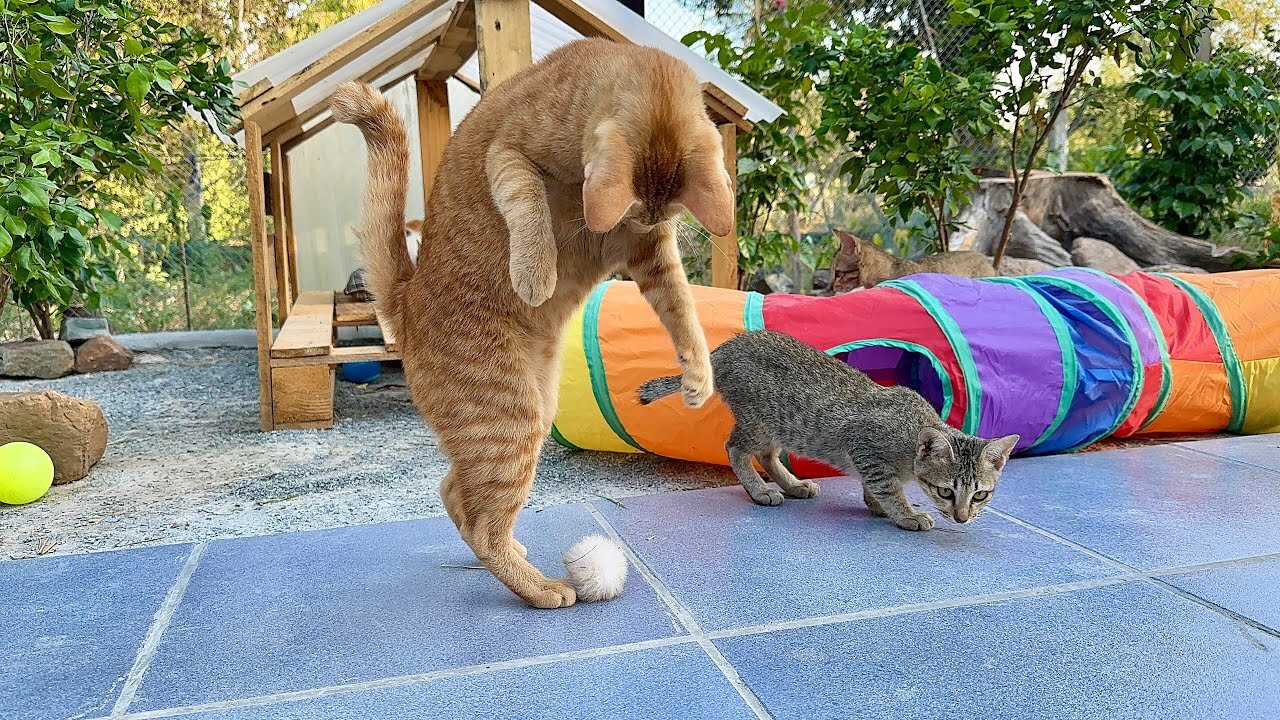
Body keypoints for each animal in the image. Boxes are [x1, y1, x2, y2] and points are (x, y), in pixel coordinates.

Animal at [330, 39, 732, 607]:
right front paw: (537, 272)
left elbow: (683, 311)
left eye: (655, 216)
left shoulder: (652, 257)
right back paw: (541, 589)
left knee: (457, 495)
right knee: (482, 523)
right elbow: (527, 202)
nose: (636, 221)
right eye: (637, 212)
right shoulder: (508, 152)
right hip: (511, 422)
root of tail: (406, 301)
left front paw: (698, 378)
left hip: (534, 413)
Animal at [640, 330, 1018, 527]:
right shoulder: (865, 446)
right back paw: (759, 490)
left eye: (981, 495)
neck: (908, 441)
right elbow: (887, 487)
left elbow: (875, 487)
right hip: (760, 419)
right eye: (945, 492)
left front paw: (878, 506)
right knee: (735, 448)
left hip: (780, 426)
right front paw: (906, 514)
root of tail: (723, 350)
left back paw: (792, 485)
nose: (963, 518)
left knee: (766, 455)